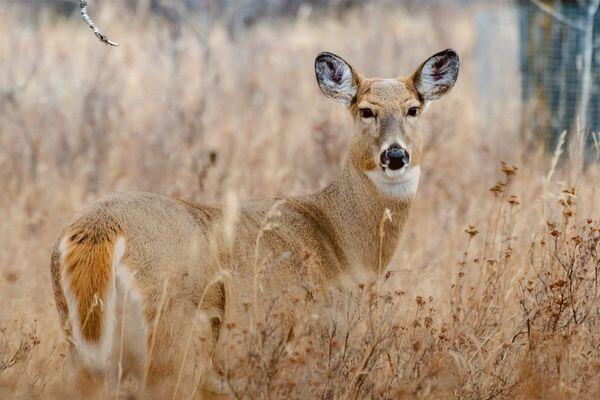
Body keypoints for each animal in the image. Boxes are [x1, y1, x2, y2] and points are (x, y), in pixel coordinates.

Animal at [50, 49, 460, 396]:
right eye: (365, 110)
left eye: (413, 109)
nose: (395, 155)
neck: (340, 240)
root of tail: (98, 229)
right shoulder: (310, 345)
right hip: (175, 339)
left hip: (83, 345)